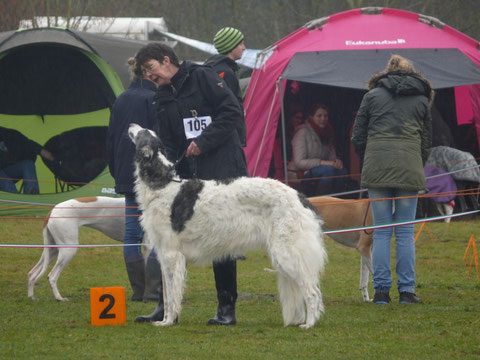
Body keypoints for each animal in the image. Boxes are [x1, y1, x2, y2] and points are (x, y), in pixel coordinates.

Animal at [129, 124, 328, 330]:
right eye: (148, 131)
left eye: (143, 132)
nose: (131, 125)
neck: (162, 184)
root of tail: (301, 197)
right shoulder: (163, 253)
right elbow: (167, 294)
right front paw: (162, 319)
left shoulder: (171, 254)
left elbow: (171, 295)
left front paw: (167, 321)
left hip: (287, 252)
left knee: (312, 291)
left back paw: (309, 323)